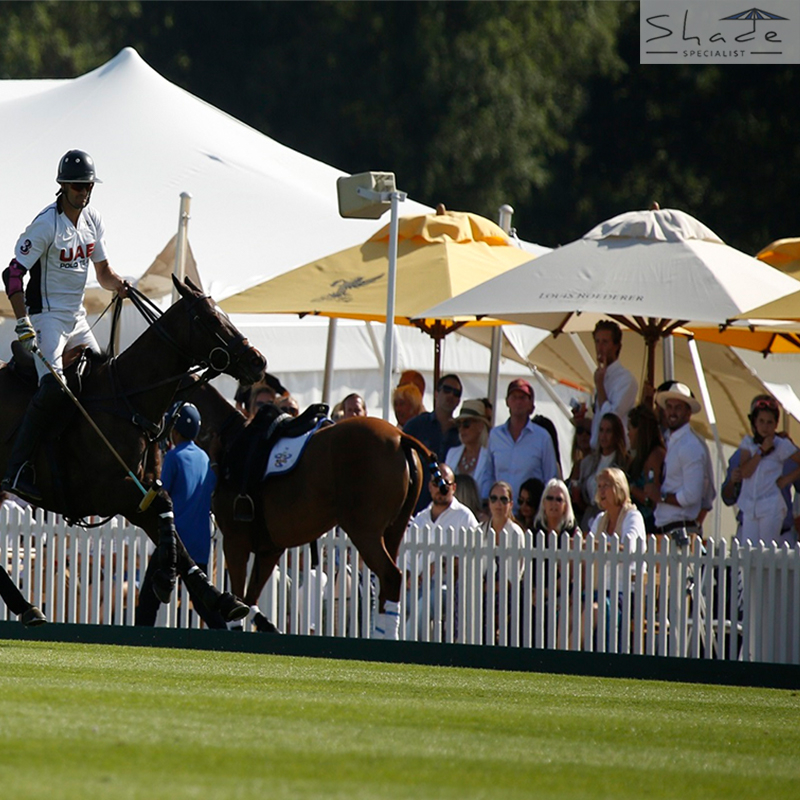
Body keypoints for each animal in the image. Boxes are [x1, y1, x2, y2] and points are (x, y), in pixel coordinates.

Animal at [0, 276, 268, 624]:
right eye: (210, 318)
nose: (258, 361)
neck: (128, 400)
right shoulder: (106, 493)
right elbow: (167, 502)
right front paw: (166, 578)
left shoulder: (140, 496)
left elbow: (175, 532)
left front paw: (215, 595)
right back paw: (27, 607)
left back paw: (27, 607)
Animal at [185, 384, 440, 640]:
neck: (227, 437)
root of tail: (401, 436)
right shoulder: (269, 548)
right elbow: (250, 599)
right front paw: (266, 625)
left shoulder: (235, 539)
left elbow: (240, 599)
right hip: (395, 528)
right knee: (386, 586)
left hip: (364, 530)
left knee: (391, 576)